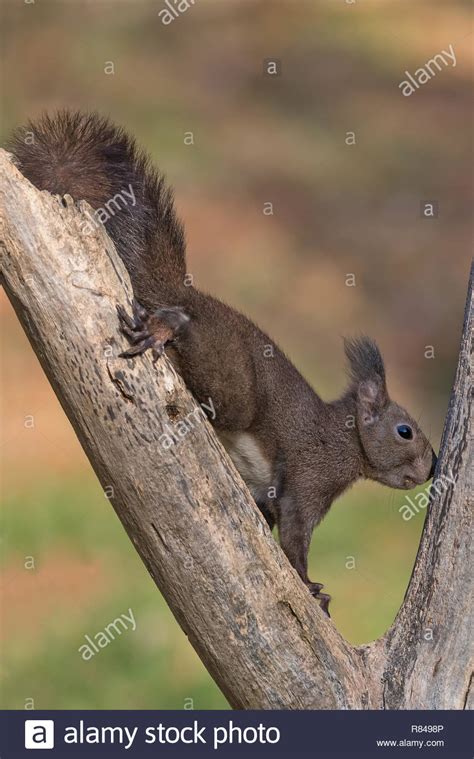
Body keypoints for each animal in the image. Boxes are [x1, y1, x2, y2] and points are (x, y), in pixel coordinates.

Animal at [8, 110, 436, 616]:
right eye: (405, 431)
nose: (431, 469)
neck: (345, 438)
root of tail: (186, 294)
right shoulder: (310, 476)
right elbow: (295, 537)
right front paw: (311, 587)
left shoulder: (270, 489)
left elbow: (269, 516)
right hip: (232, 385)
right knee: (191, 341)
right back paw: (165, 327)